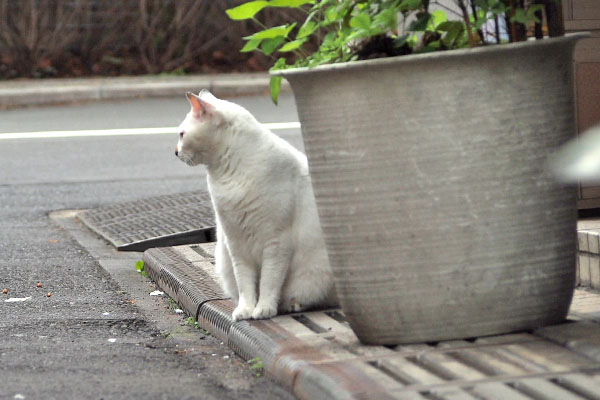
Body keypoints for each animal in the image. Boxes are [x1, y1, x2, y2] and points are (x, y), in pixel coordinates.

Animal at [177, 91, 338, 322]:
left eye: (181, 134)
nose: (175, 151)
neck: (229, 173)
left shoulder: (276, 244)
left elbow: (269, 283)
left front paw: (264, 309)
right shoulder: (236, 245)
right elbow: (246, 285)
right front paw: (245, 311)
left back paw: (293, 304)